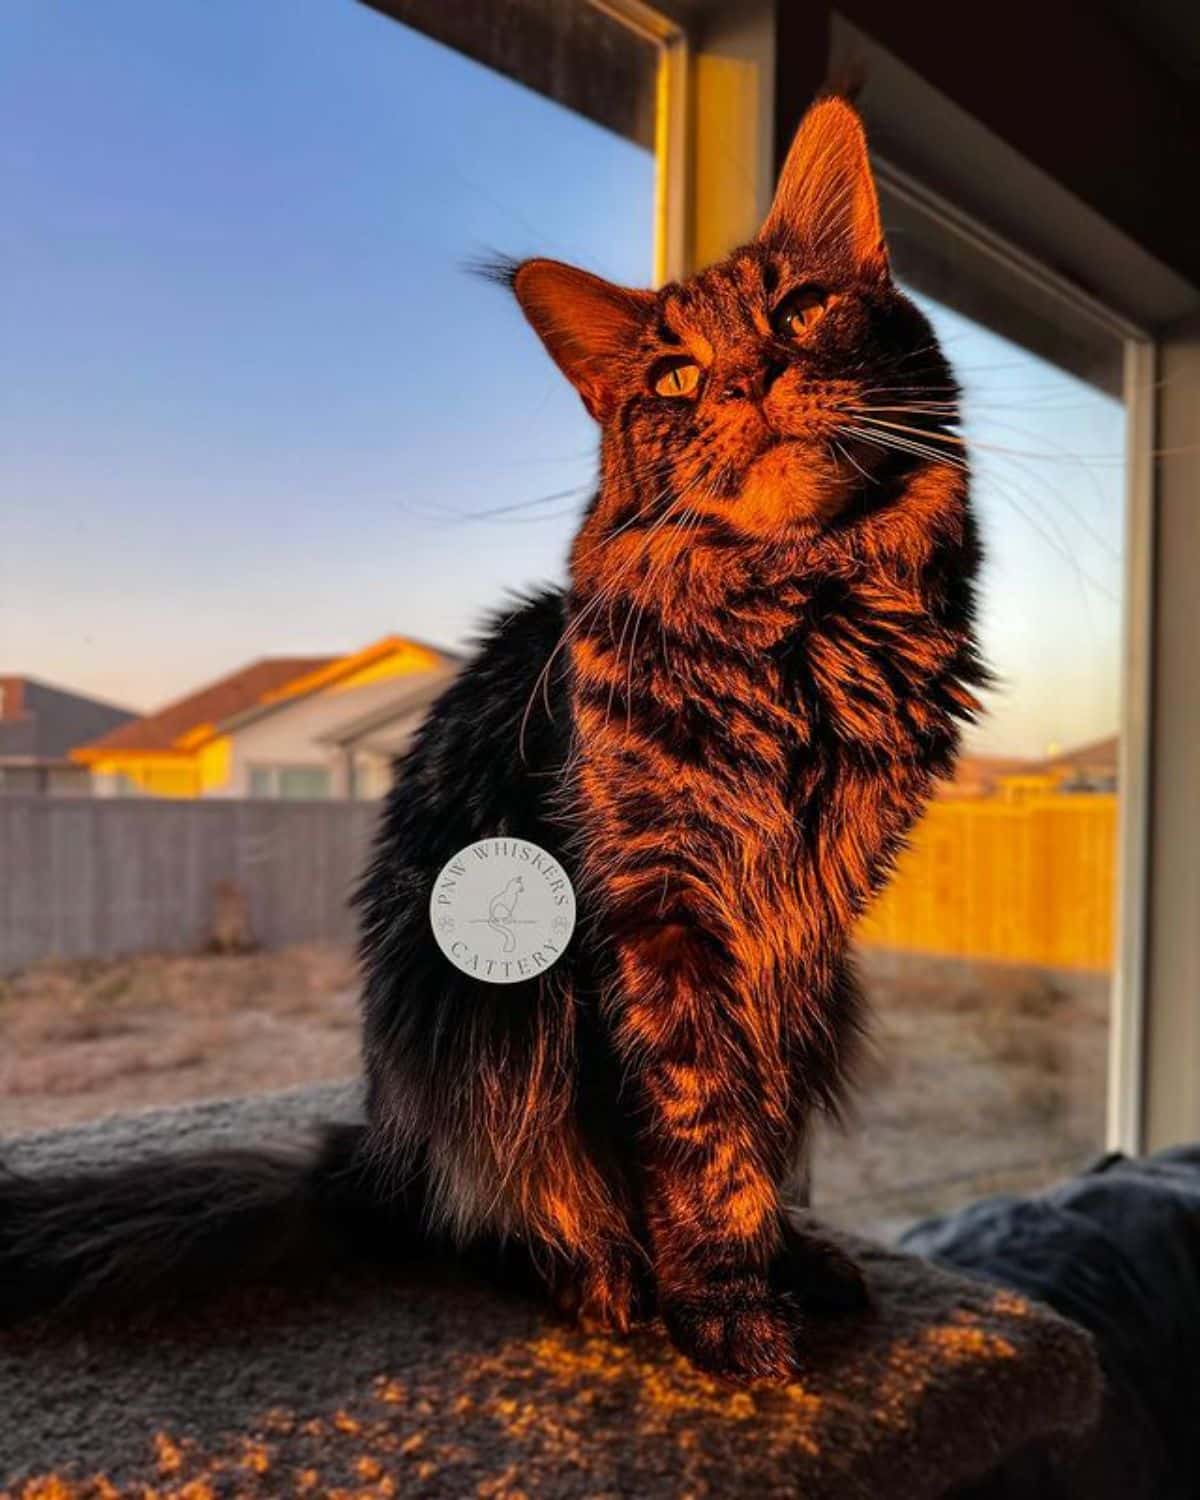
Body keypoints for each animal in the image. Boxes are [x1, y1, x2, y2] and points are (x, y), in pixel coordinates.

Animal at [0, 93, 984, 1380]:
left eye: (801, 311)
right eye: (676, 375)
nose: (750, 379)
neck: (805, 623)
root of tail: (374, 1154)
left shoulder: (810, 919)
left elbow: (755, 1118)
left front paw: (771, 1260)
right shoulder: (654, 901)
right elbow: (693, 1128)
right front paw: (721, 1305)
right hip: (491, 1031)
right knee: (490, 1215)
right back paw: (600, 1282)